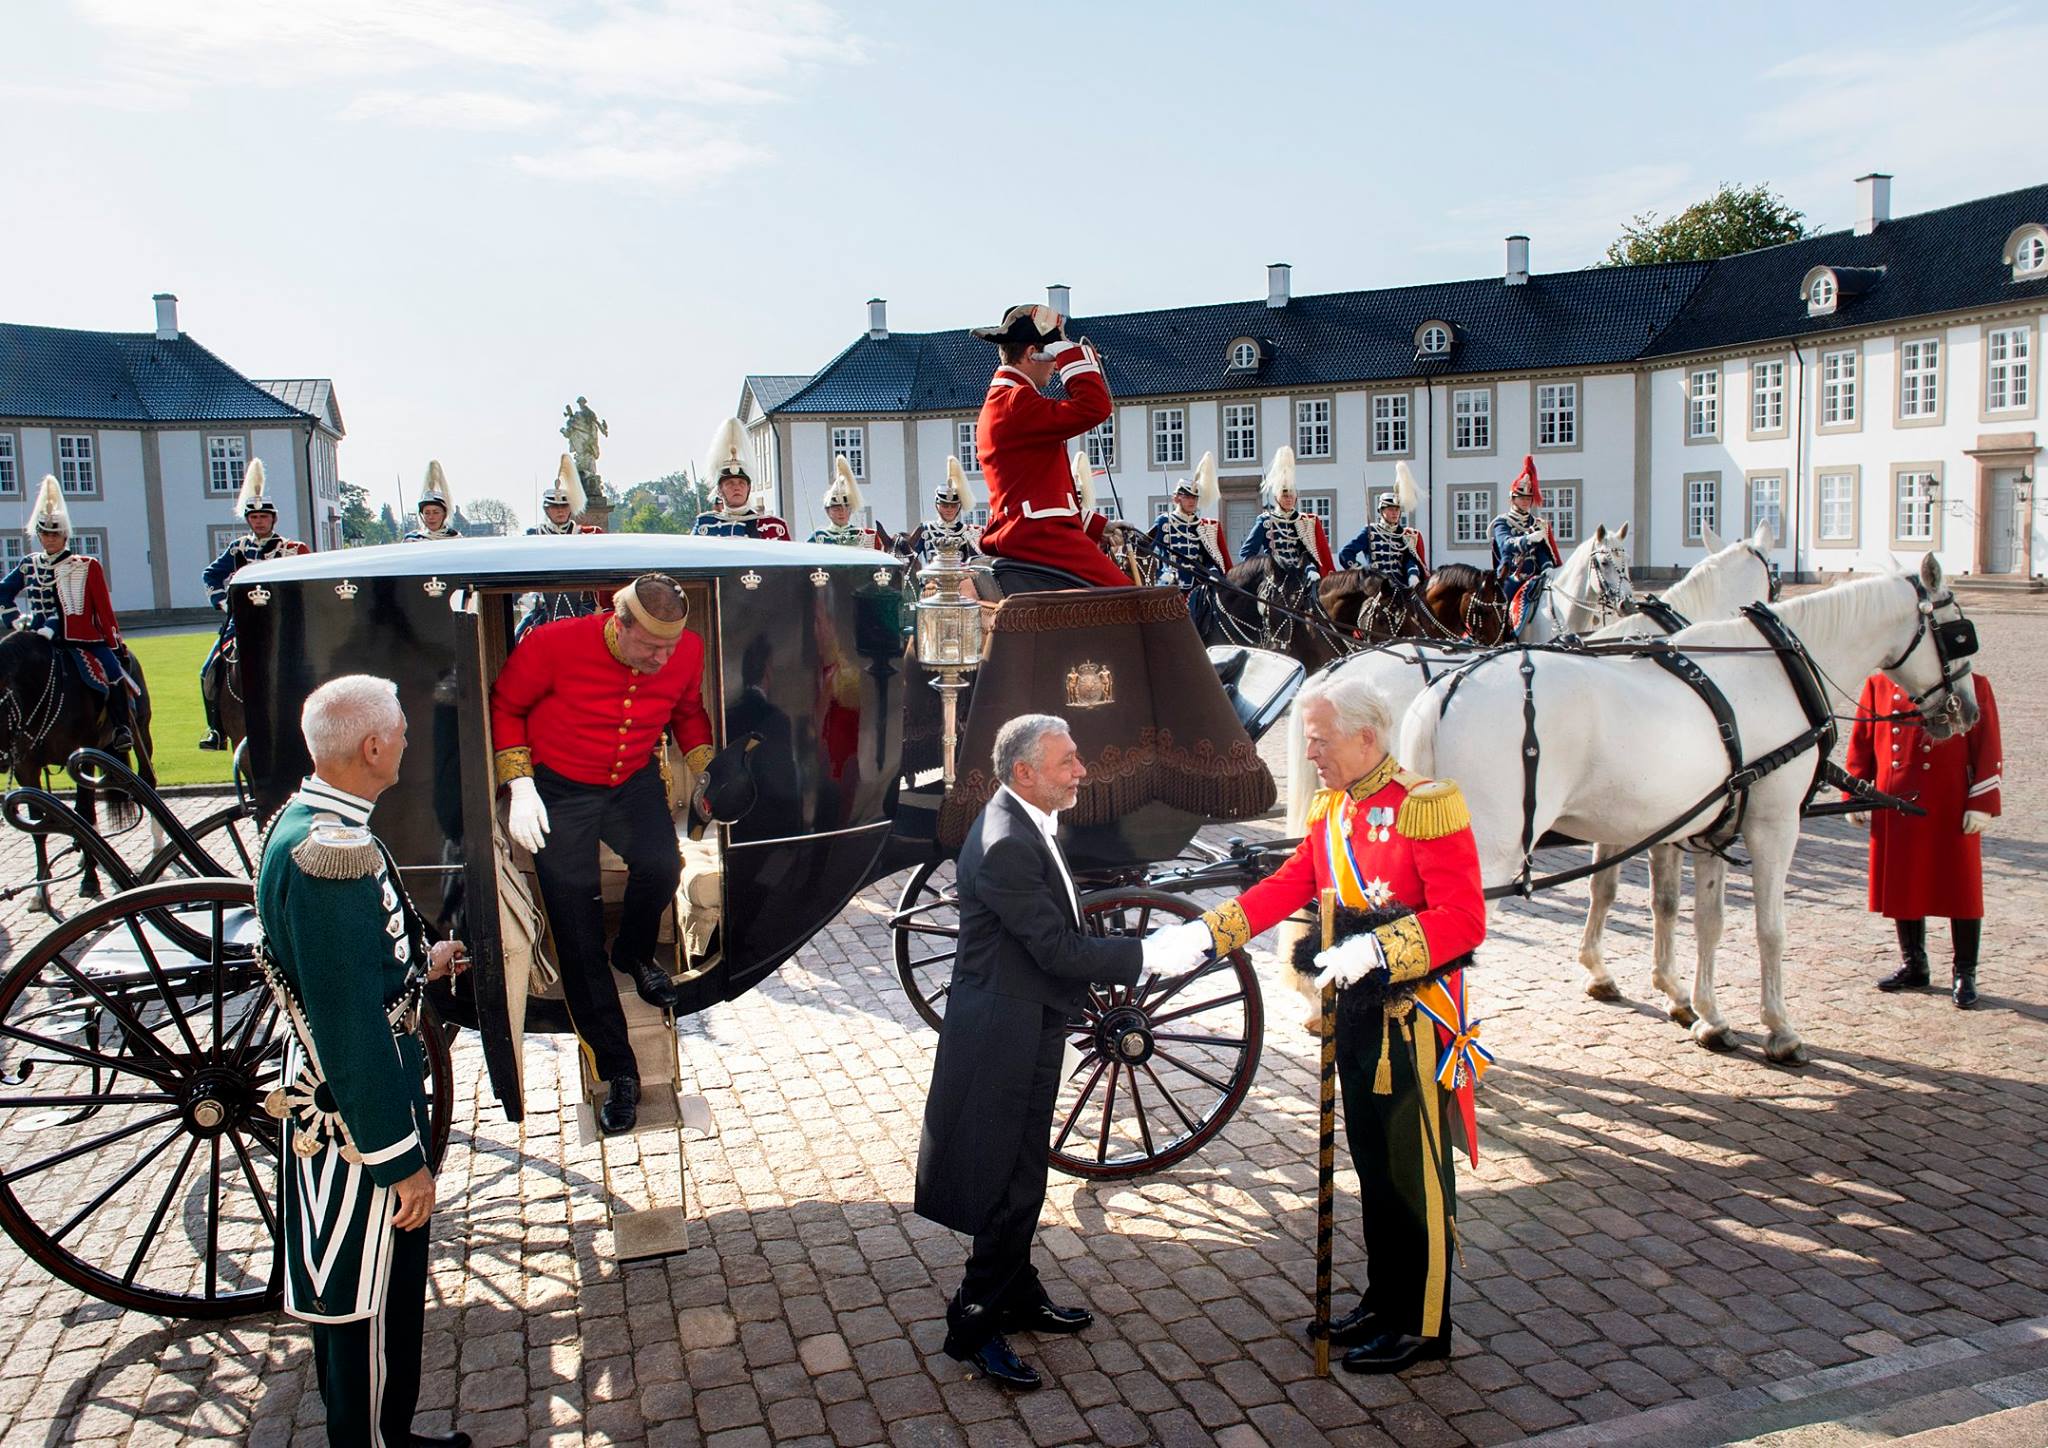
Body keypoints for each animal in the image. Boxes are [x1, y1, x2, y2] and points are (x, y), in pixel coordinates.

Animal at [1400, 557, 1974, 1065]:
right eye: (1959, 633)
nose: (1965, 710)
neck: (1776, 669)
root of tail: (1443, 691)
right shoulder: (1773, 824)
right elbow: (1768, 928)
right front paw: (1779, 1029)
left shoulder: (1703, 825)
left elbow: (1699, 918)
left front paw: (1704, 1013)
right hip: (1493, 856)